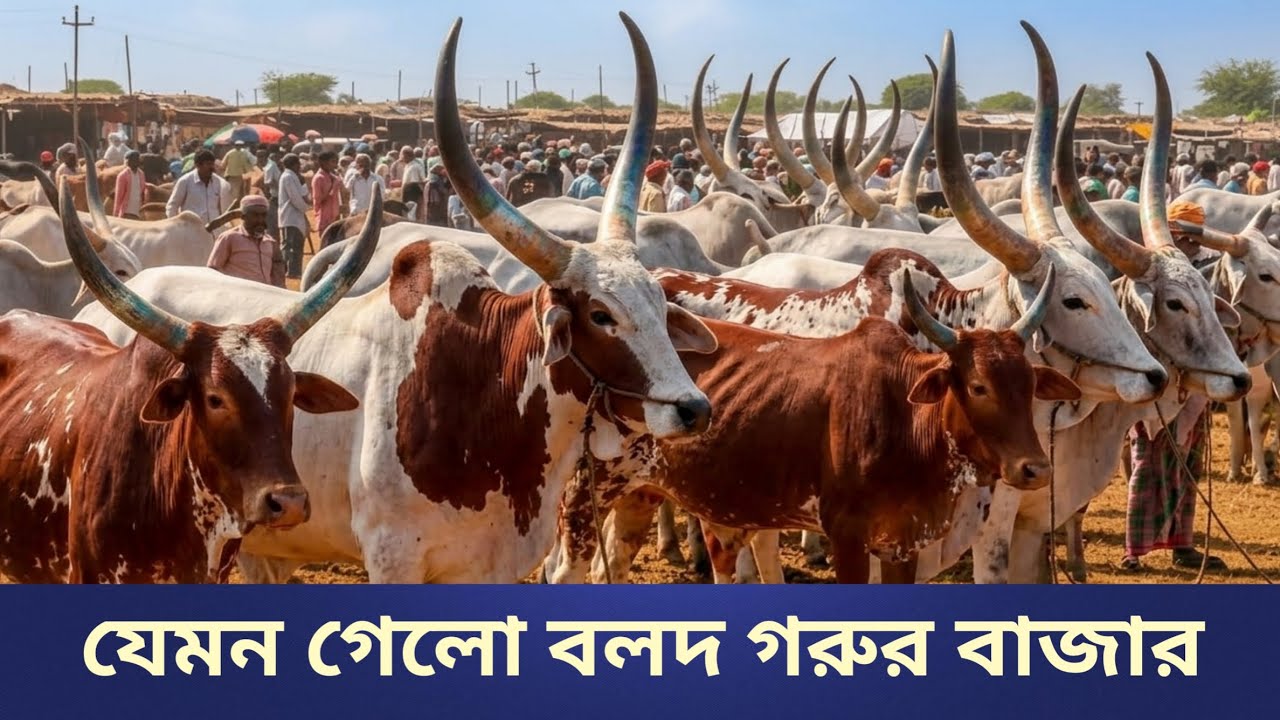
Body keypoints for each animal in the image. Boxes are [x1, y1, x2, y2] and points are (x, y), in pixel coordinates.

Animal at [80, 13, 718, 585]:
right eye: (601, 315)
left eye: (659, 303)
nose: (694, 409)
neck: (482, 380)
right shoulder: (393, 557)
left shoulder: (491, 566)